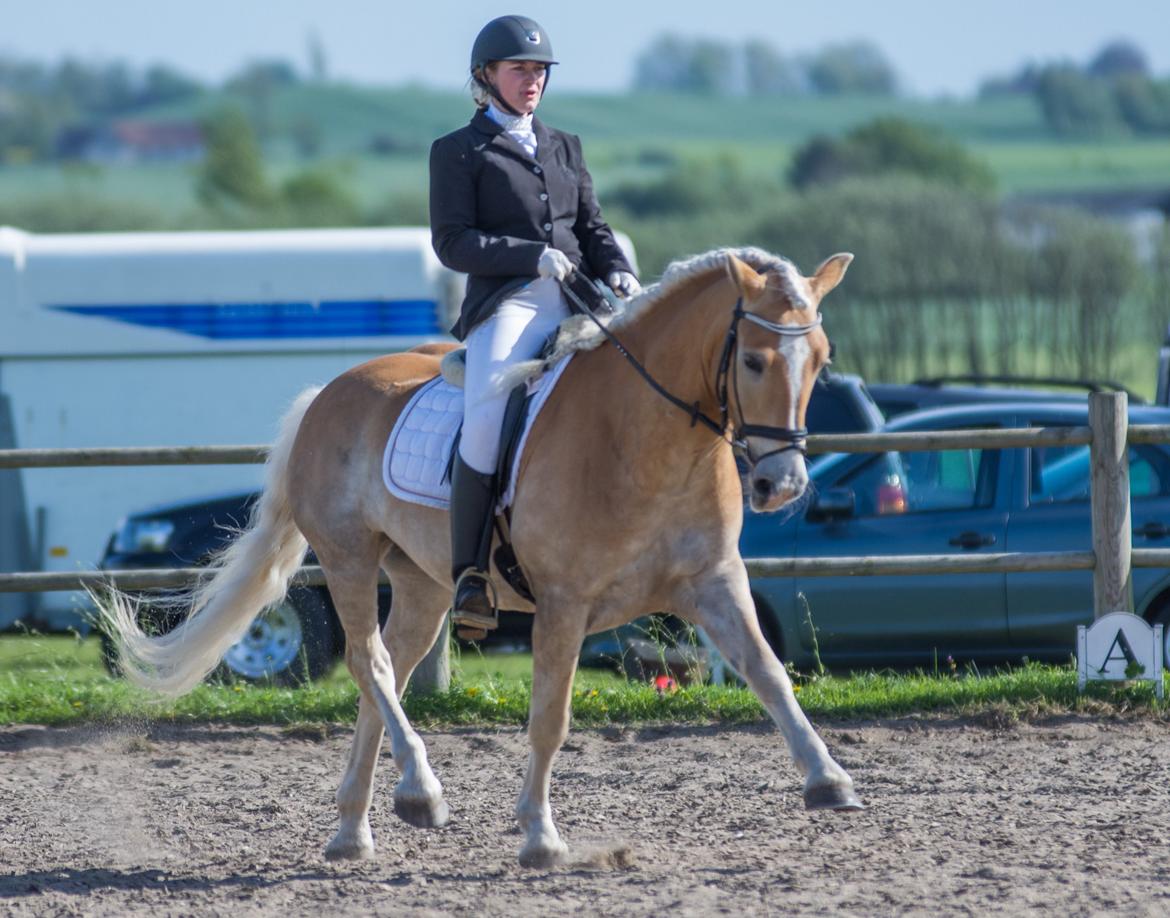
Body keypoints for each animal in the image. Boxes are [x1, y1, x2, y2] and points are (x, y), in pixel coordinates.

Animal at [105, 243, 865, 865]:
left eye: (821, 360)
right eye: (754, 360)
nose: (781, 485)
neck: (646, 440)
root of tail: (331, 390)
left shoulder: (715, 581)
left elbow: (769, 673)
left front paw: (829, 780)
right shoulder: (564, 603)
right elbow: (550, 719)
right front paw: (540, 836)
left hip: (422, 585)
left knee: (387, 671)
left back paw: (354, 829)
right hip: (349, 558)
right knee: (368, 662)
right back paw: (421, 791)